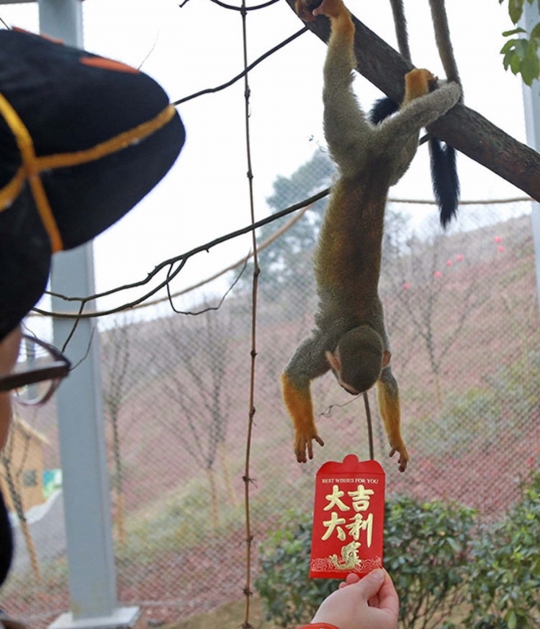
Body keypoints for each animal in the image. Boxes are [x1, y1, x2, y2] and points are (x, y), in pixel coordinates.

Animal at [282, 0, 460, 472]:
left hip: (381, 156)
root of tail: (373, 163)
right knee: (335, 90)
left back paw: (411, 87)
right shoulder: (325, 344)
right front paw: (305, 429)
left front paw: (396, 439)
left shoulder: (380, 342)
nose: (347, 393)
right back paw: (347, 29)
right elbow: (294, 374)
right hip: (353, 145)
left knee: (398, 137)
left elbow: (390, 380)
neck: (359, 325)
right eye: (345, 388)